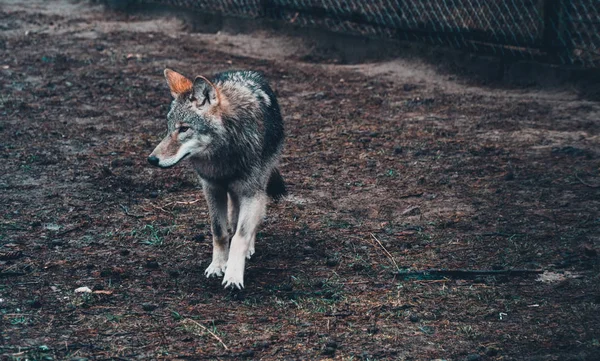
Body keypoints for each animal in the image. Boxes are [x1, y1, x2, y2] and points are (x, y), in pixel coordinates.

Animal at [146, 69, 284, 288]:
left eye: (184, 128)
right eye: (168, 128)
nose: (152, 159)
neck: (224, 155)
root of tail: (244, 71)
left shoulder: (251, 192)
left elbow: (241, 236)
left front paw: (233, 276)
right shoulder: (212, 188)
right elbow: (219, 232)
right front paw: (218, 266)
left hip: (257, 187)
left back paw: (249, 249)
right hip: (233, 192)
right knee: (233, 218)